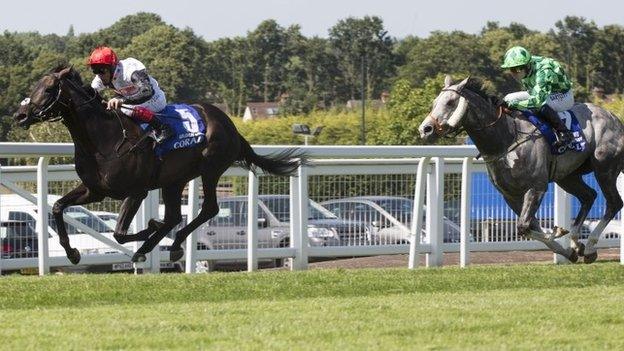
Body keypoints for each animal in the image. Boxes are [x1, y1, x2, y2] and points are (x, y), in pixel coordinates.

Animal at [12, 65, 304, 264]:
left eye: (49, 89)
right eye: (35, 85)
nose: (20, 115)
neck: (103, 138)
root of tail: (229, 124)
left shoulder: (136, 191)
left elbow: (119, 233)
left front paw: (147, 229)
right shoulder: (95, 190)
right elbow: (58, 207)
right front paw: (72, 252)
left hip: (210, 168)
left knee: (208, 209)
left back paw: (167, 245)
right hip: (174, 180)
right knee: (174, 215)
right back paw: (158, 245)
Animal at [416, 77, 624, 264]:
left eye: (451, 102)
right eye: (434, 102)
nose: (425, 129)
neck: (507, 139)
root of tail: (614, 117)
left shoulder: (536, 187)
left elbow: (524, 227)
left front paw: (559, 232)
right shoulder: (510, 195)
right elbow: (531, 227)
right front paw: (568, 250)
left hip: (604, 168)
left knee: (614, 203)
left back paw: (589, 246)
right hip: (568, 177)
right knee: (588, 196)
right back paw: (576, 242)